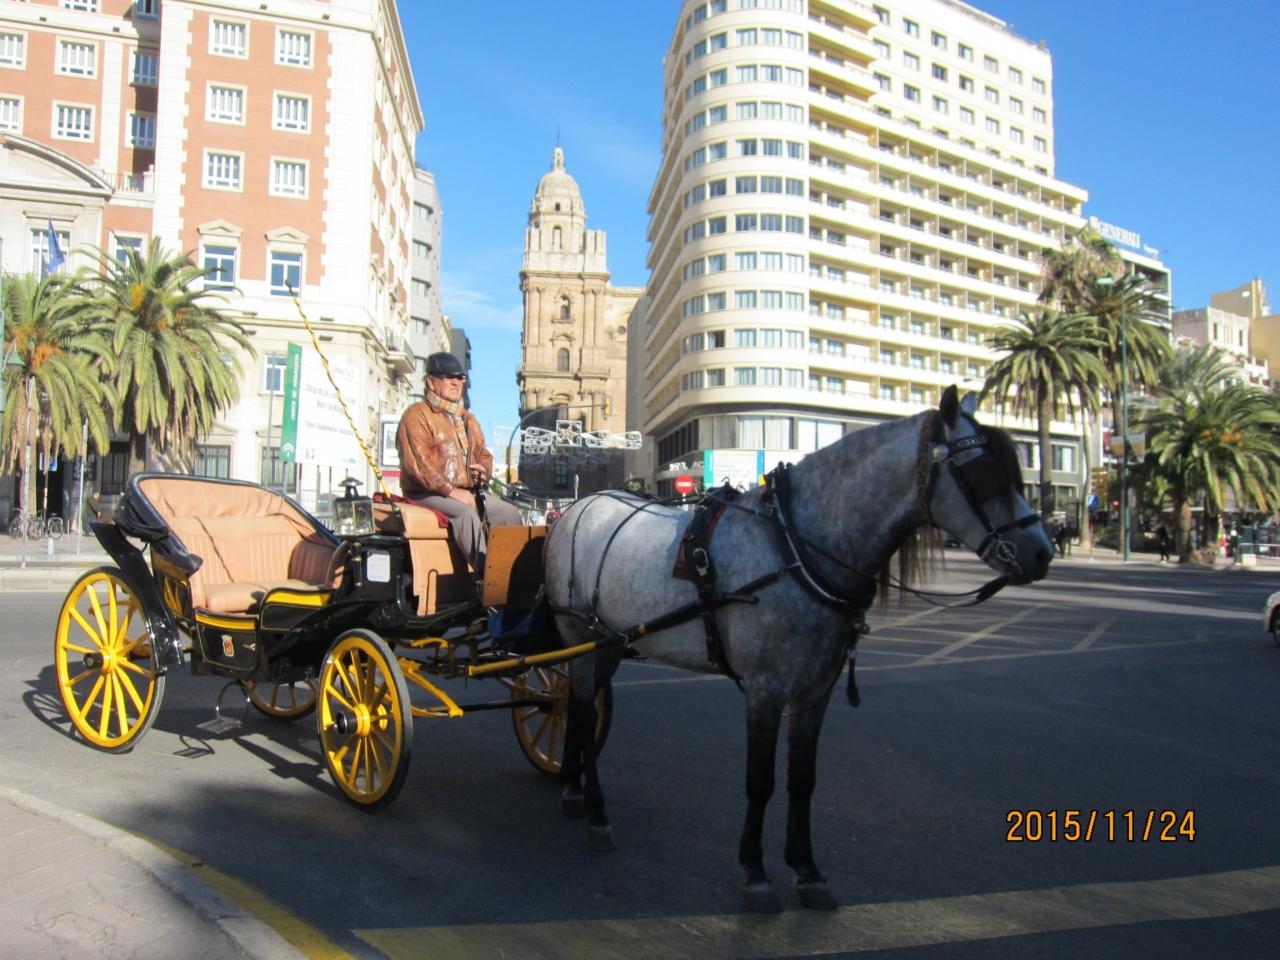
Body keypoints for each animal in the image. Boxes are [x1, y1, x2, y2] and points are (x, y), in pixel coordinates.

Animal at [543, 387, 1053, 912]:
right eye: (982, 472)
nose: (1043, 552)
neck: (795, 547)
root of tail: (577, 508)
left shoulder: (815, 691)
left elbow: (802, 779)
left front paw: (806, 869)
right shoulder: (765, 691)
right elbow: (761, 780)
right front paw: (755, 871)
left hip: (606, 644)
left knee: (576, 708)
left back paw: (574, 787)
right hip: (580, 636)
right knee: (581, 709)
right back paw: (596, 812)